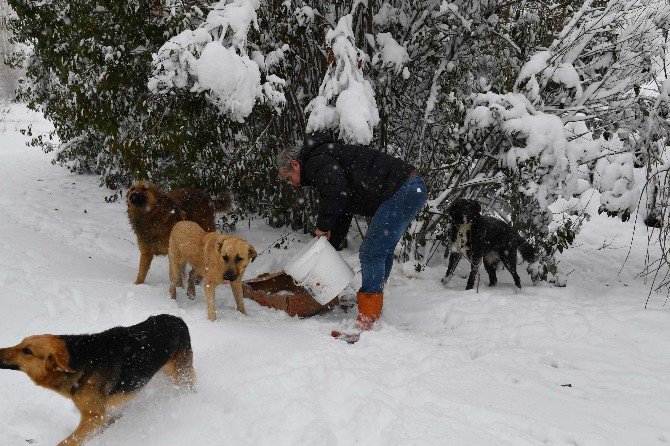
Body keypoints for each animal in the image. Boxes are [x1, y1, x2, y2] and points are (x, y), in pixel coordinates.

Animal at [0, 316, 194, 444]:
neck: (78, 359)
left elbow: (68, 441)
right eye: (21, 342)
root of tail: (179, 320)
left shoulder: (94, 417)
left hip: (182, 376)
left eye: (27, 351)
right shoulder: (99, 416)